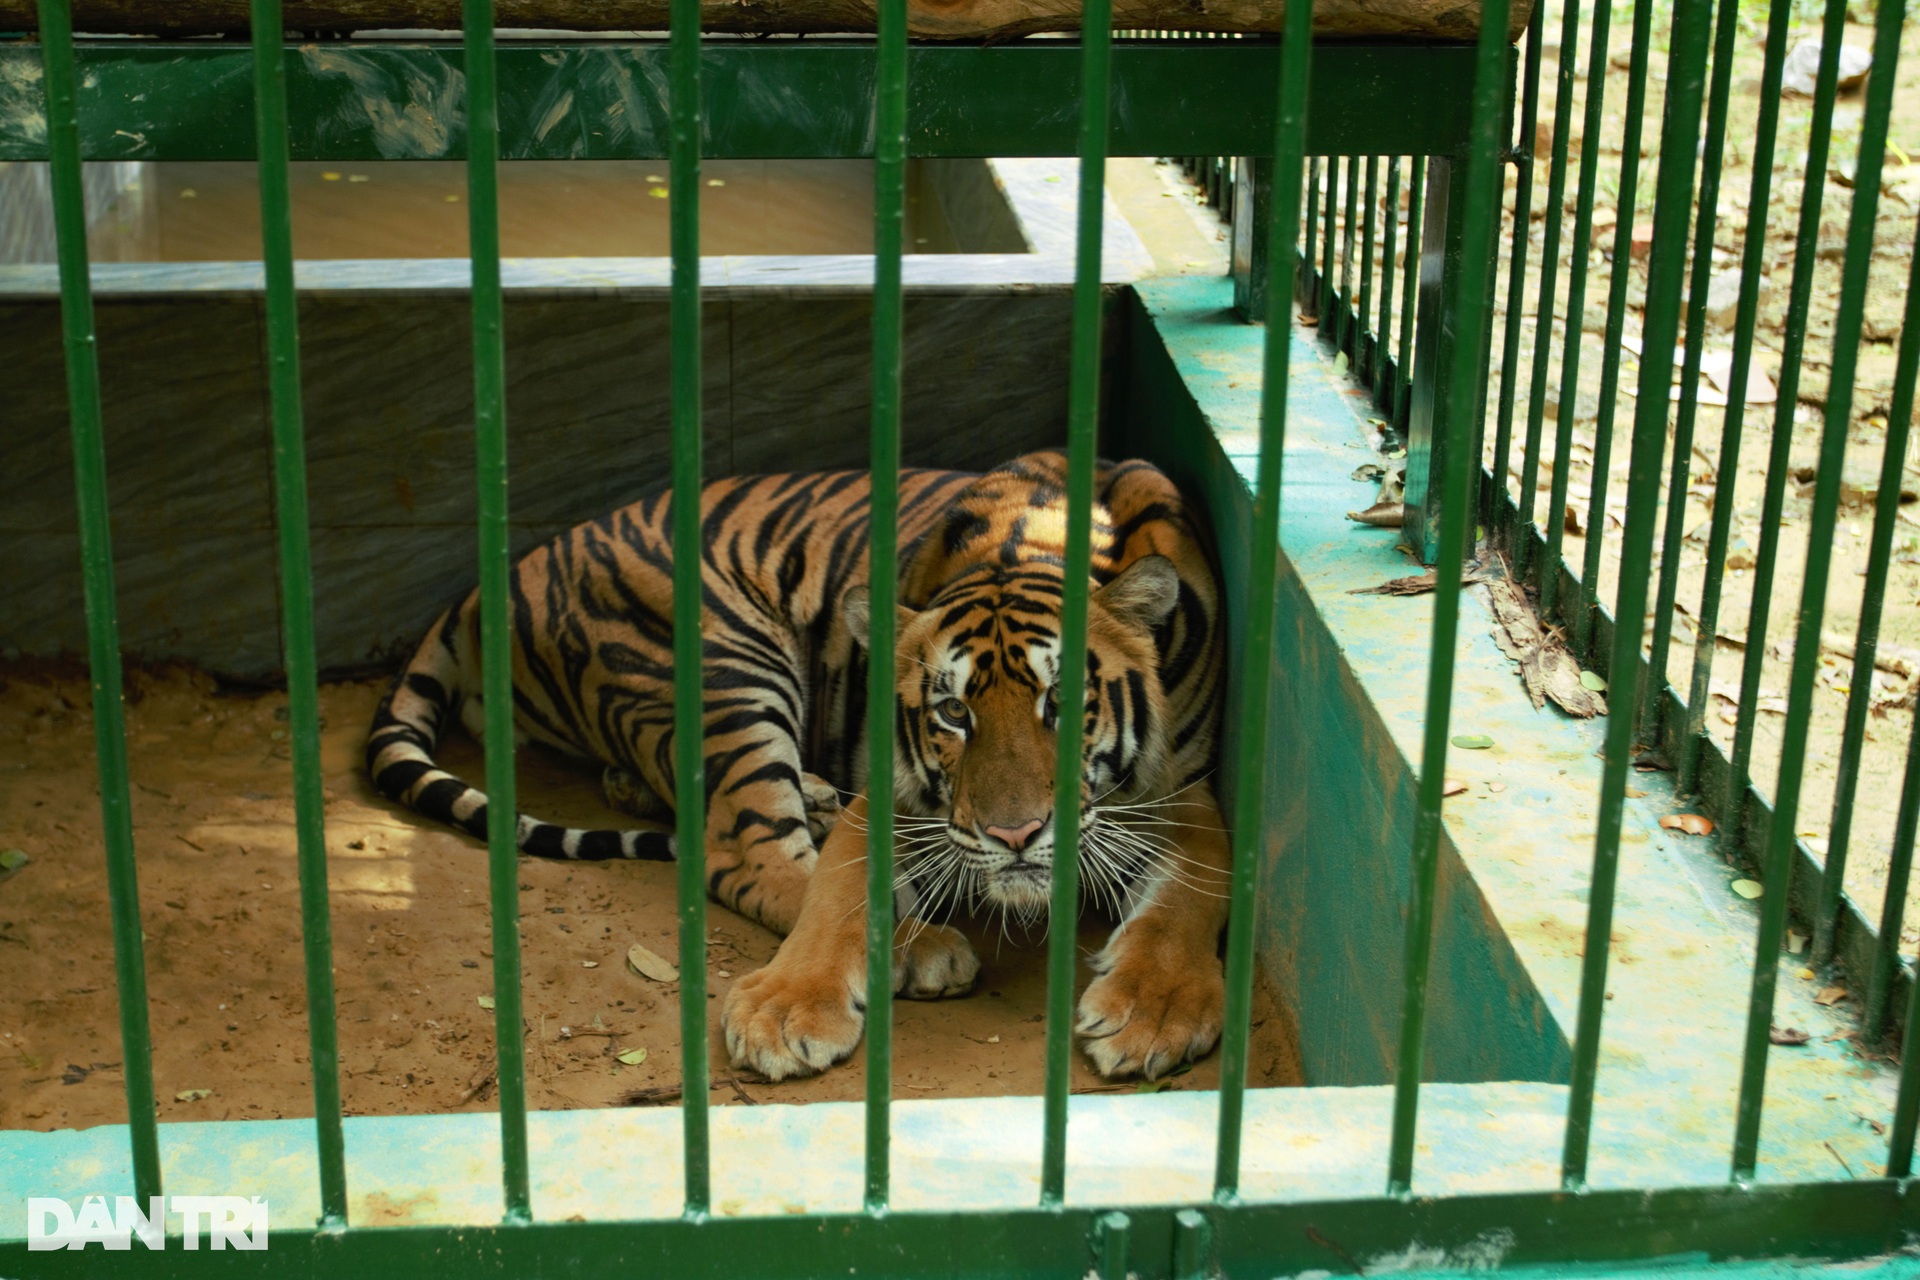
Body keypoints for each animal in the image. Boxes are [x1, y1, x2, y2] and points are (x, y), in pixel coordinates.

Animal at [362, 450, 1228, 1082]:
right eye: (953, 711)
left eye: (1062, 699)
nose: (1014, 836)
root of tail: (495, 581)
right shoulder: (892, 786)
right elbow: (835, 886)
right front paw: (788, 1010)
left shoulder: (1187, 793)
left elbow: (1196, 890)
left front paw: (1153, 1012)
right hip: (726, 663)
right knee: (747, 855)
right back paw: (918, 945)